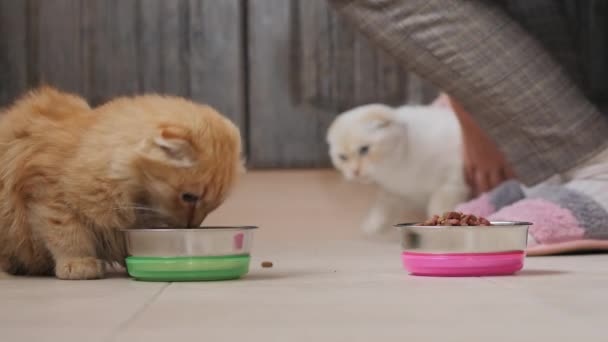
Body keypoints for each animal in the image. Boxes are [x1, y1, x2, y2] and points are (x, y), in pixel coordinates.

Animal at [0, 87, 242, 280]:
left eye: (211, 207)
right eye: (189, 197)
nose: (191, 227)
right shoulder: (48, 196)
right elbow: (68, 237)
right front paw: (79, 263)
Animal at [328, 103, 470, 234]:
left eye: (364, 149)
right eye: (343, 157)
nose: (355, 172)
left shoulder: (450, 182)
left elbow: (438, 207)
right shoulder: (393, 190)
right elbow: (382, 205)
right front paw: (372, 225)